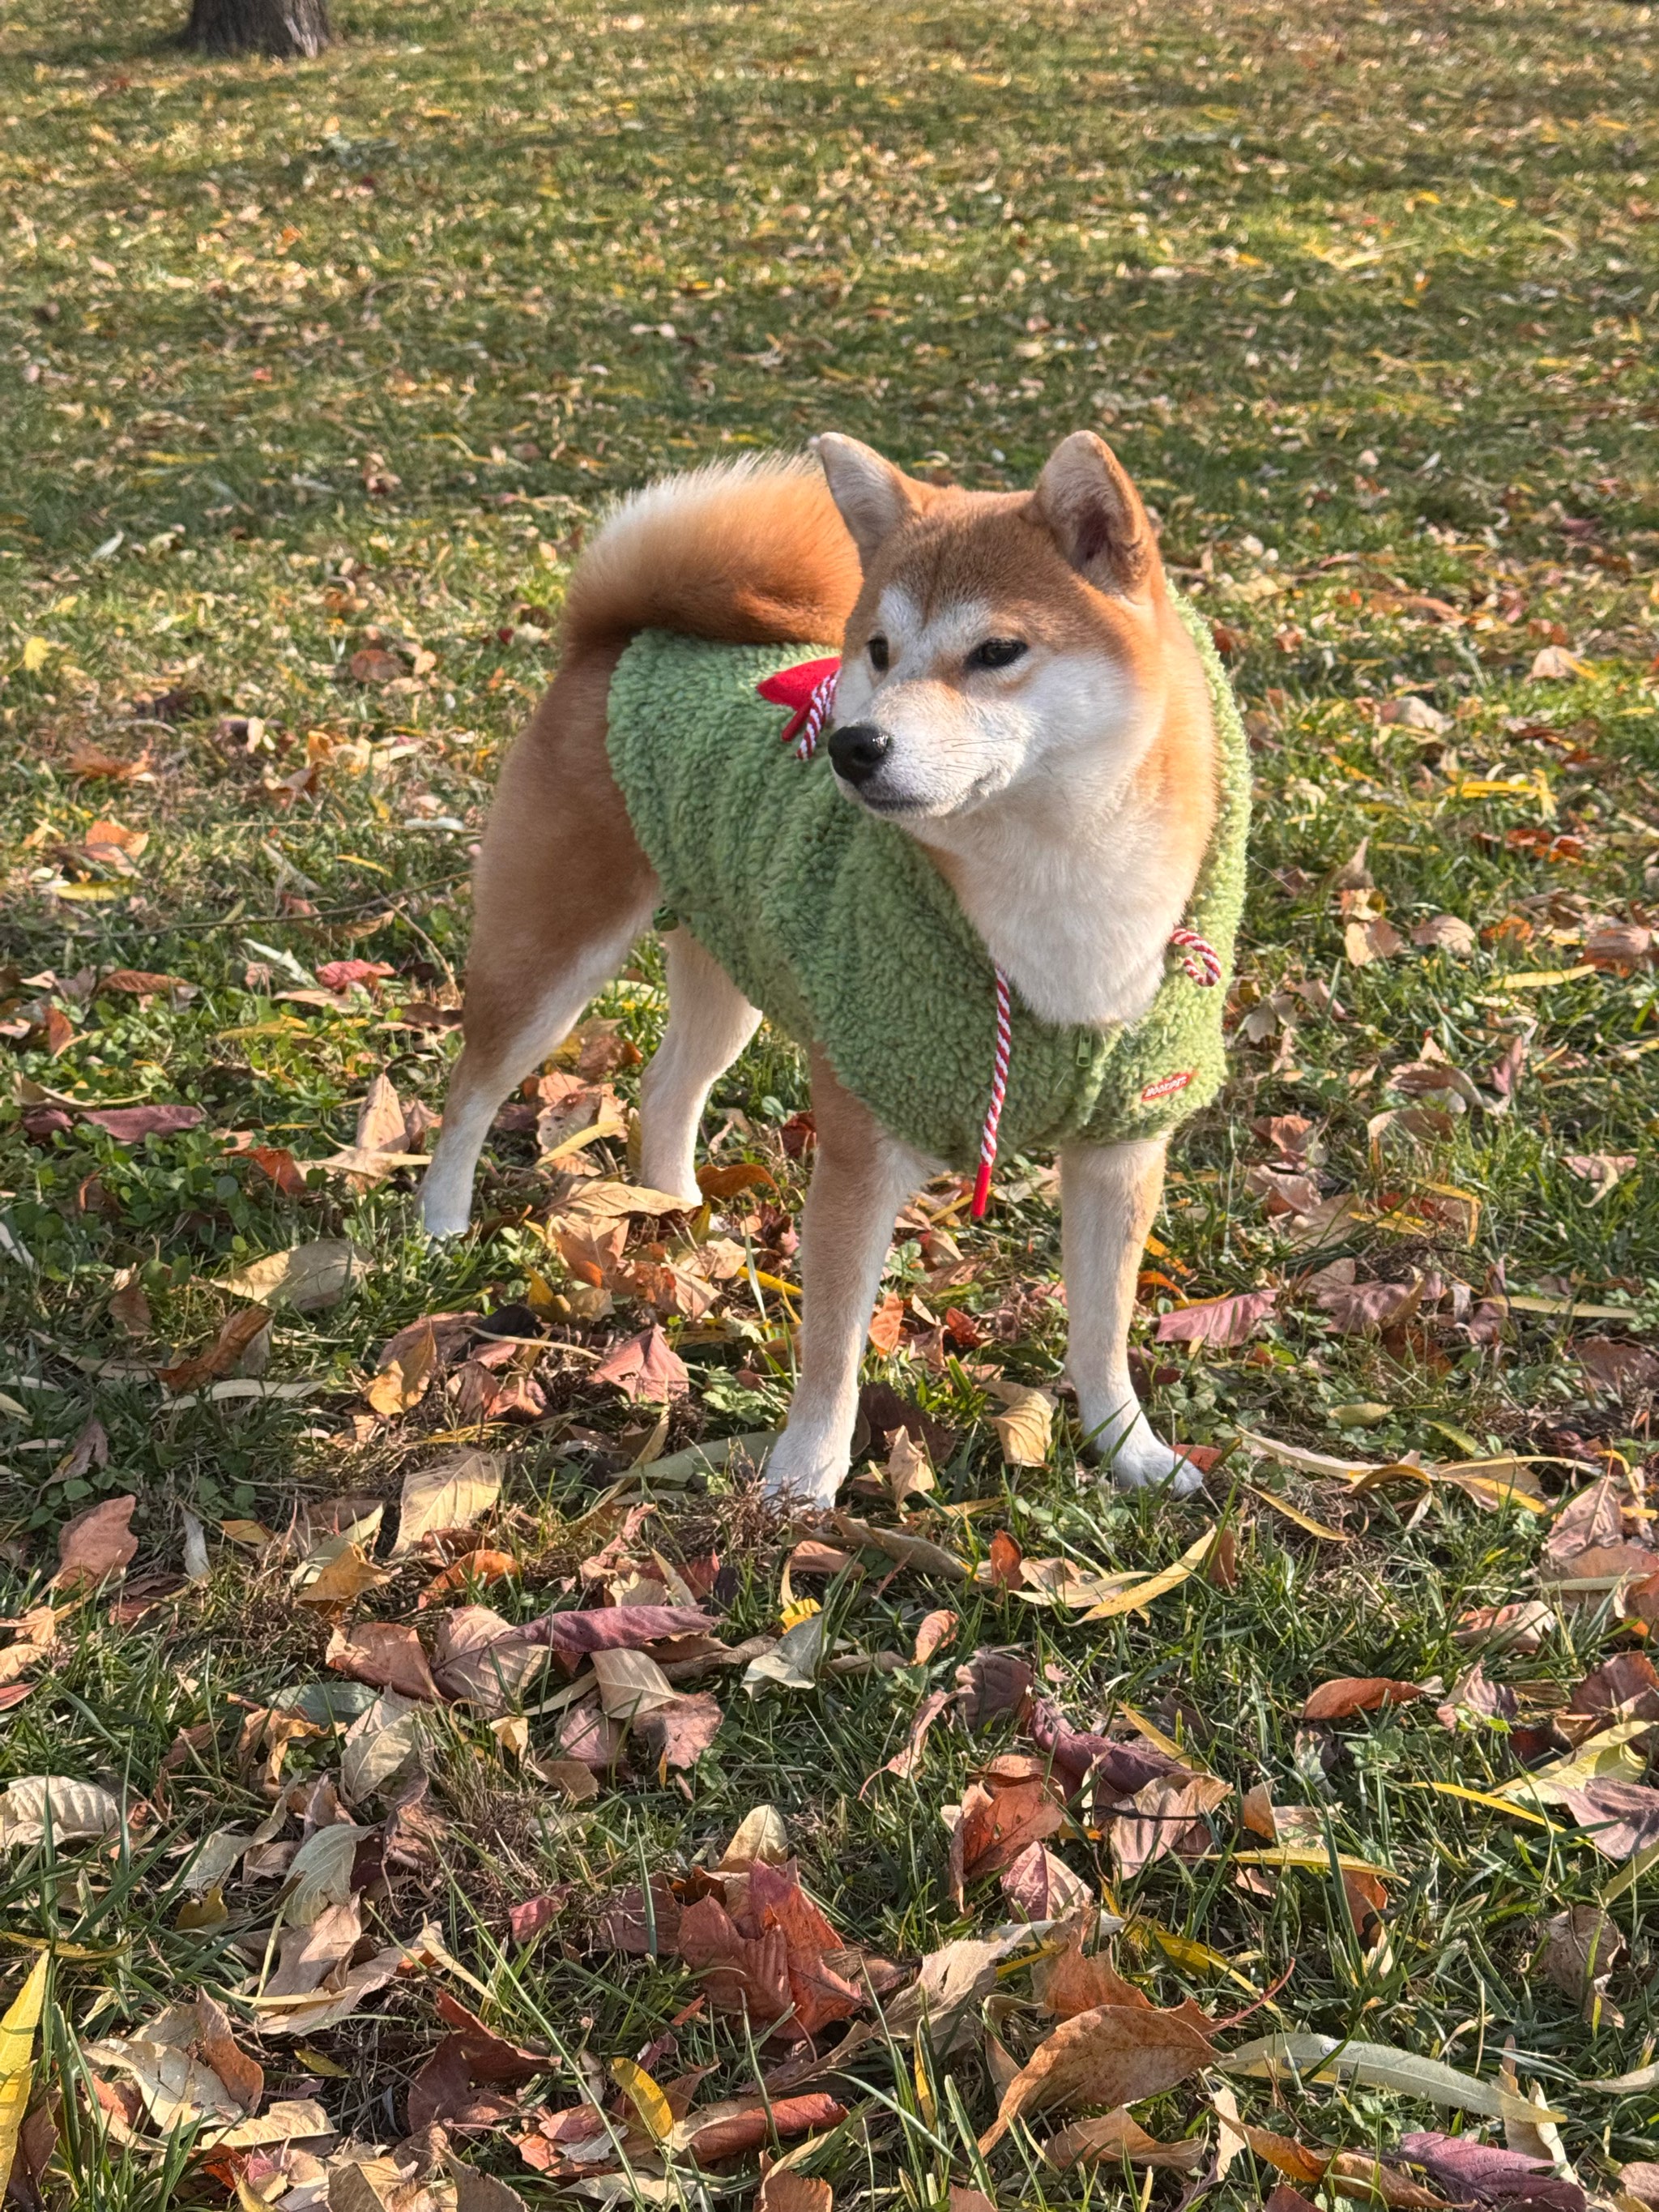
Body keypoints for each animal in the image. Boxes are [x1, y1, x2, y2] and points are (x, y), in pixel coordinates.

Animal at [418, 431, 1247, 1504]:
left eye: (996, 652)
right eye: (878, 651)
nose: (853, 746)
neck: (1056, 894)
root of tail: (617, 638)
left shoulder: (1121, 1149)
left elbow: (1101, 1330)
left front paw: (1127, 1447)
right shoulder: (860, 1148)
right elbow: (833, 1345)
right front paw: (803, 1475)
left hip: (725, 964)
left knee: (667, 1084)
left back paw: (677, 1208)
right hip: (548, 956)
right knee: (472, 1091)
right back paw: (440, 1221)